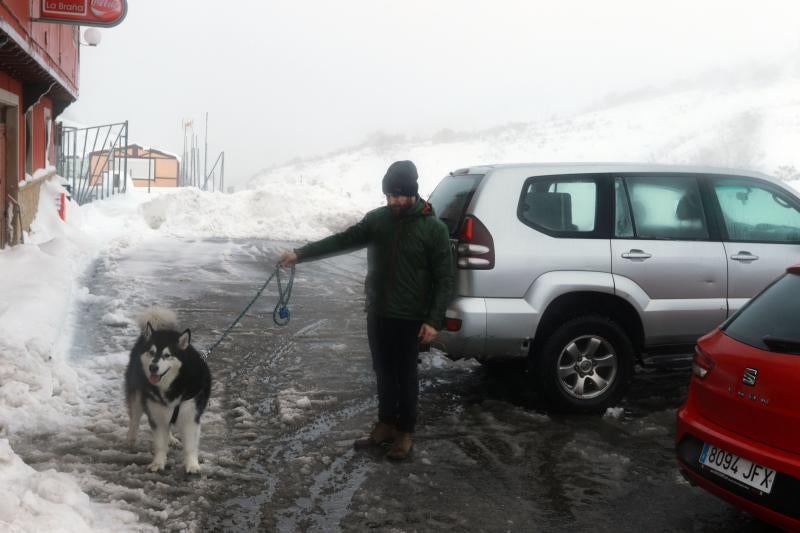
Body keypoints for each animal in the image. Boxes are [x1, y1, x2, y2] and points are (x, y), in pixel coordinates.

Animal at [123, 306, 211, 472]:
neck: (172, 385)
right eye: (152, 352)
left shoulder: (191, 415)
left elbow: (190, 445)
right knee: (134, 418)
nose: (153, 367)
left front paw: (192, 465)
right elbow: (159, 443)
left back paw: (171, 439)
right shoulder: (156, 413)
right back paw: (130, 439)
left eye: (167, 355)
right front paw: (158, 463)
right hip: (138, 395)